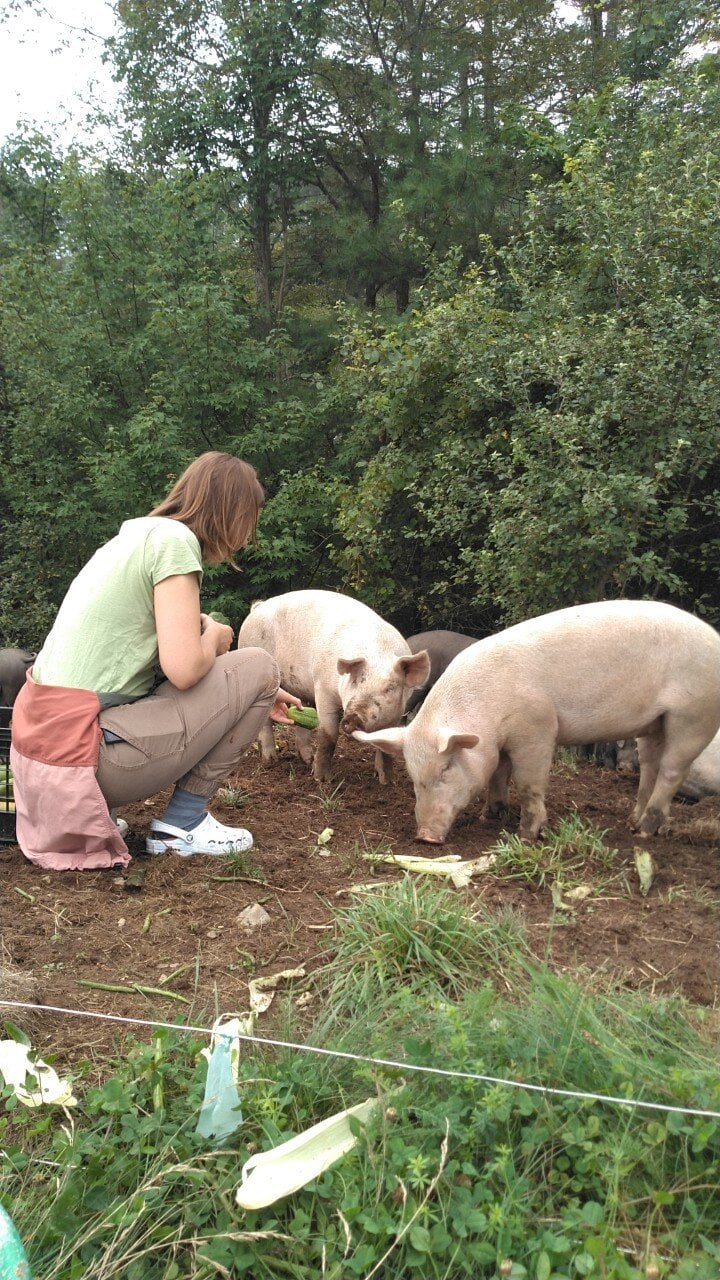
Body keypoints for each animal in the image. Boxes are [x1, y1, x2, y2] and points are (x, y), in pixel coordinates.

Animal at [235, 586, 425, 778]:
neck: (378, 652)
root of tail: (257, 608)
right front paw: (321, 779)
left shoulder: (397, 711)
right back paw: (270, 761)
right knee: (265, 722)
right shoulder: (322, 688)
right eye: (355, 680)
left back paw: (307, 760)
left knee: (300, 717)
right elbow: (329, 734)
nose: (354, 717)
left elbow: (385, 749)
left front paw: (385, 780)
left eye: (390, 688)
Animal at [353, 601, 720, 844]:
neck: (488, 717)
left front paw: (526, 835)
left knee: (672, 771)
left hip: (694, 716)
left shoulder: (537, 731)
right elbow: (498, 773)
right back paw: (633, 822)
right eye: (413, 777)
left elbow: (529, 782)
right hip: (656, 724)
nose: (425, 837)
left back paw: (644, 832)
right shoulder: (497, 742)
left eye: (445, 769)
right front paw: (490, 816)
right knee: (651, 766)